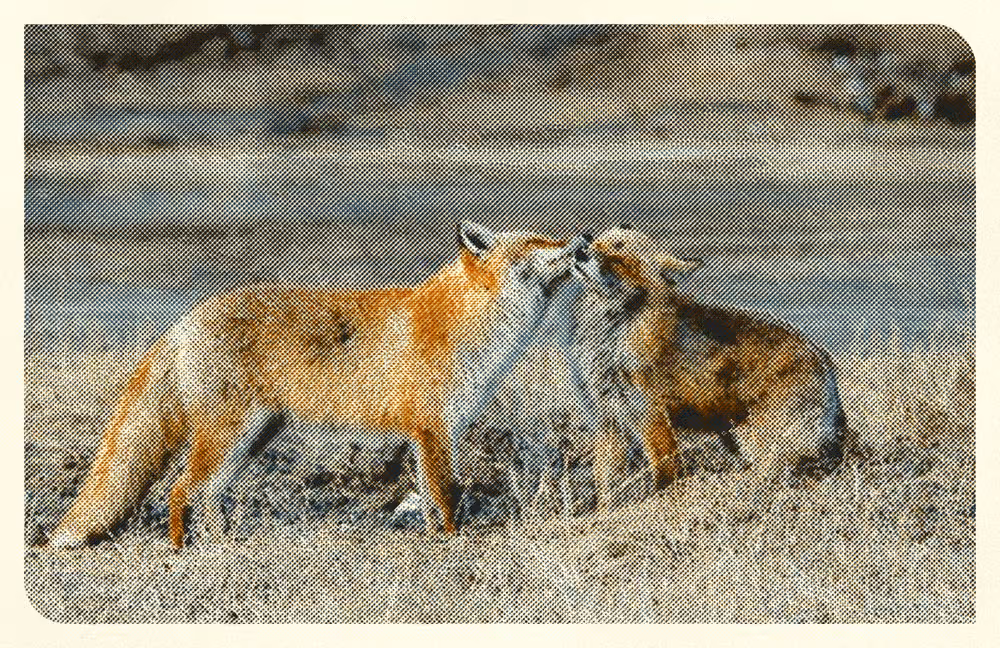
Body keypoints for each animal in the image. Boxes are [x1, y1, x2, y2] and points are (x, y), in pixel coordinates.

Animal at [49, 222, 587, 548]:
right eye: (538, 243)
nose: (582, 240)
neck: (471, 324)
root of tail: (186, 318)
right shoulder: (432, 427)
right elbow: (447, 493)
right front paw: (454, 543)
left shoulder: (435, 432)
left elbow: (432, 497)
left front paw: (436, 538)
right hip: (229, 436)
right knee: (181, 490)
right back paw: (182, 553)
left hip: (251, 438)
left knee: (206, 494)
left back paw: (222, 546)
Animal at [569, 227, 849, 508]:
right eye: (595, 241)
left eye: (619, 252)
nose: (579, 250)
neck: (614, 332)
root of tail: (823, 356)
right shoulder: (609, 418)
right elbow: (606, 485)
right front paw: (605, 514)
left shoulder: (652, 416)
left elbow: (665, 477)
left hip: (758, 440)